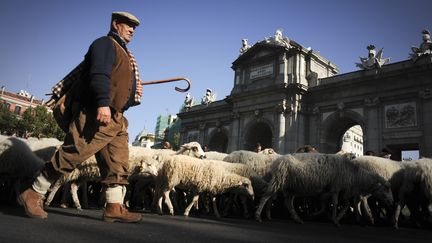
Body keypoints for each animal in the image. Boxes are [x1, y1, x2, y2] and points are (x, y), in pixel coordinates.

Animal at [255, 154, 394, 226]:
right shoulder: (336, 188)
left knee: (287, 202)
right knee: (266, 196)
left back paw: (295, 218)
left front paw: (328, 216)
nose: (392, 202)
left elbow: (338, 205)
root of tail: (277, 161)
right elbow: (336, 204)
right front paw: (335, 220)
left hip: (290, 187)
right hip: (279, 181)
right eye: (386, 188)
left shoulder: (332, 191)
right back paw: (258, 216)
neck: (354, 175)